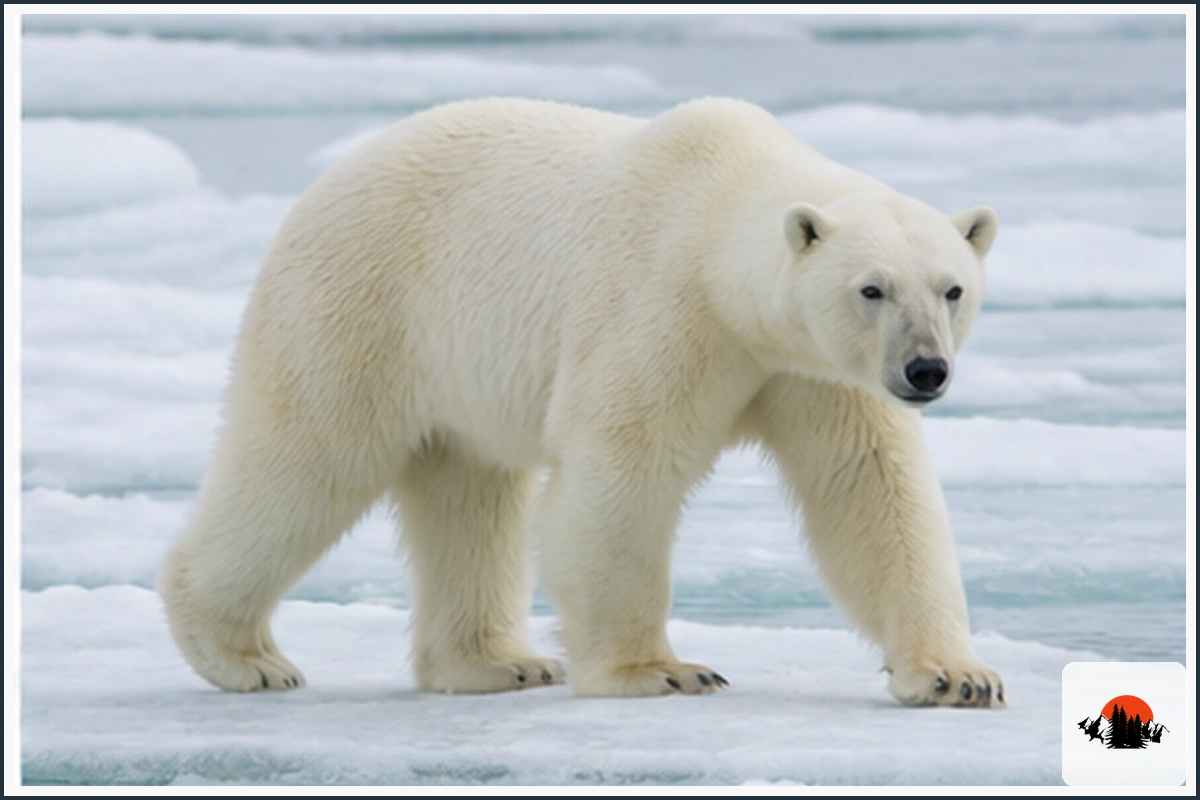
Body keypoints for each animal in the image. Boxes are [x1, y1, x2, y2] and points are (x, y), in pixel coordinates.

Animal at [158, 96, 1004, 707]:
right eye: (872, 289)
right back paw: (244, 656)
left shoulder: (815, 373)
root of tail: (321, 184)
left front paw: (957, 676)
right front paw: (660, 671)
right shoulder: (662, 304)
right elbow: (622, 470)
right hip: (362, 307)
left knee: (470, 497)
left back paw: (497, 662)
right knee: (307, 461)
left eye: (951, 289)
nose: (926, 371)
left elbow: (869, 492)